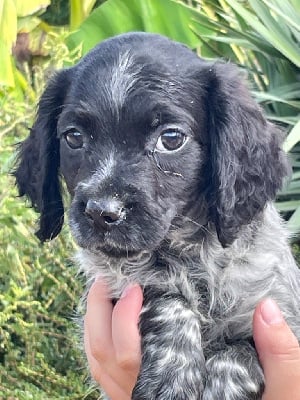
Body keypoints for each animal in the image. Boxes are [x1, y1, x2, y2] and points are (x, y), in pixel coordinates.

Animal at [14, 32, 300, 398]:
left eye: (171, 138)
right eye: (74, 137)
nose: (101, 213)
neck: (189, 256)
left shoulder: (278, 316)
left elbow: (239, 353)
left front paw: (222, 385)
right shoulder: (113, 282)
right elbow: (162, 294)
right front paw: (171, 374)